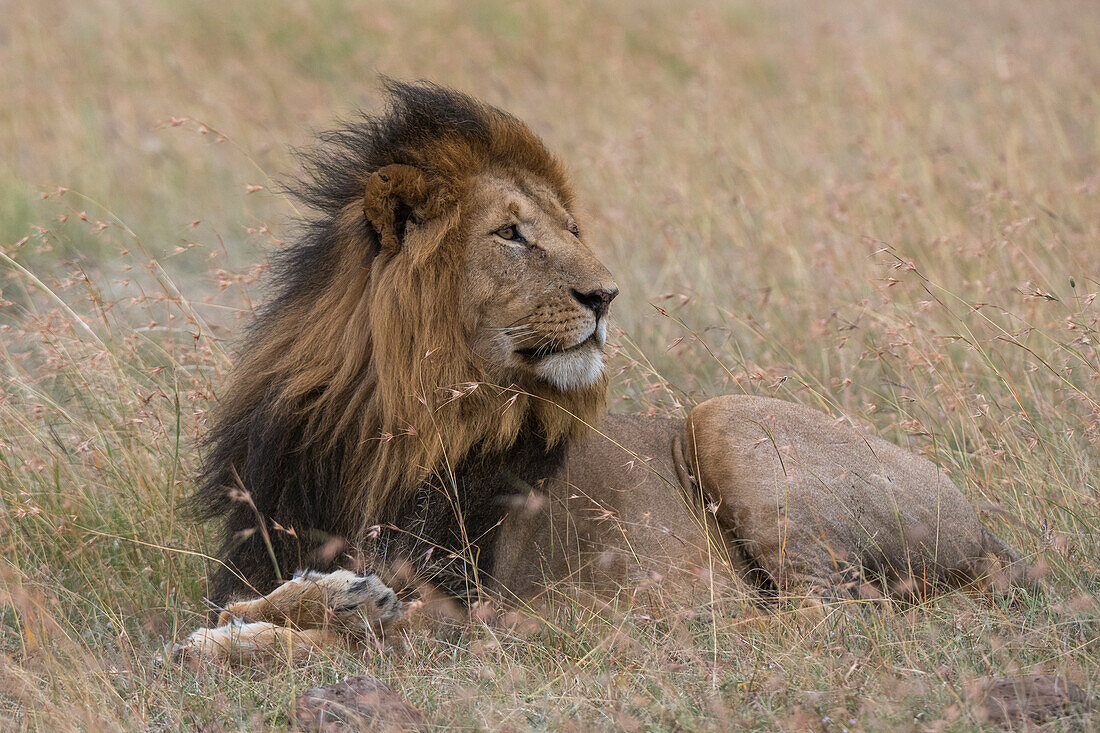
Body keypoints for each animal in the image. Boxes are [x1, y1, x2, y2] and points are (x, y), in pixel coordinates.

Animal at [176, 81, 1034, 660]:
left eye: (571, 229)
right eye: (512, 234)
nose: (605, 294)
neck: (394, 420)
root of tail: (991, 533)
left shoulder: (456, 606)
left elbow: (345, 640)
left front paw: (266, 639)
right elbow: (241, 605)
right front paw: (295, 608)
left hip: (726, 420)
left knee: (826, 612)